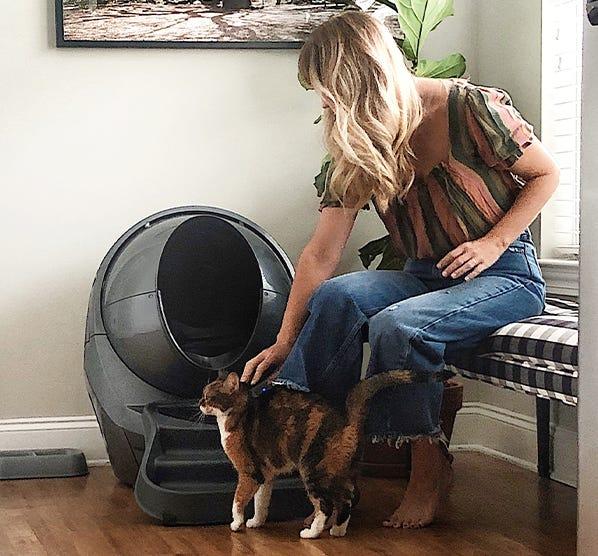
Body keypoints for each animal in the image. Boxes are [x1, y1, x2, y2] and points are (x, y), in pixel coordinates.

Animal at [199, 370, 420, 540]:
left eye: (209, 396)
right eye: (203, 394)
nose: (199, 402)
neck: (237, 414)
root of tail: (348, 420)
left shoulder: (249, 472)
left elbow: (238, 500)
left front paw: (237, 524)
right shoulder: (265, 475)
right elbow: (261, 502)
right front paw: (256, 522)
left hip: (313, 472)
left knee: (326, 506)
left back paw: (312, 533)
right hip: (339, 474)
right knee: (346, 499)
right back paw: (338, 530)